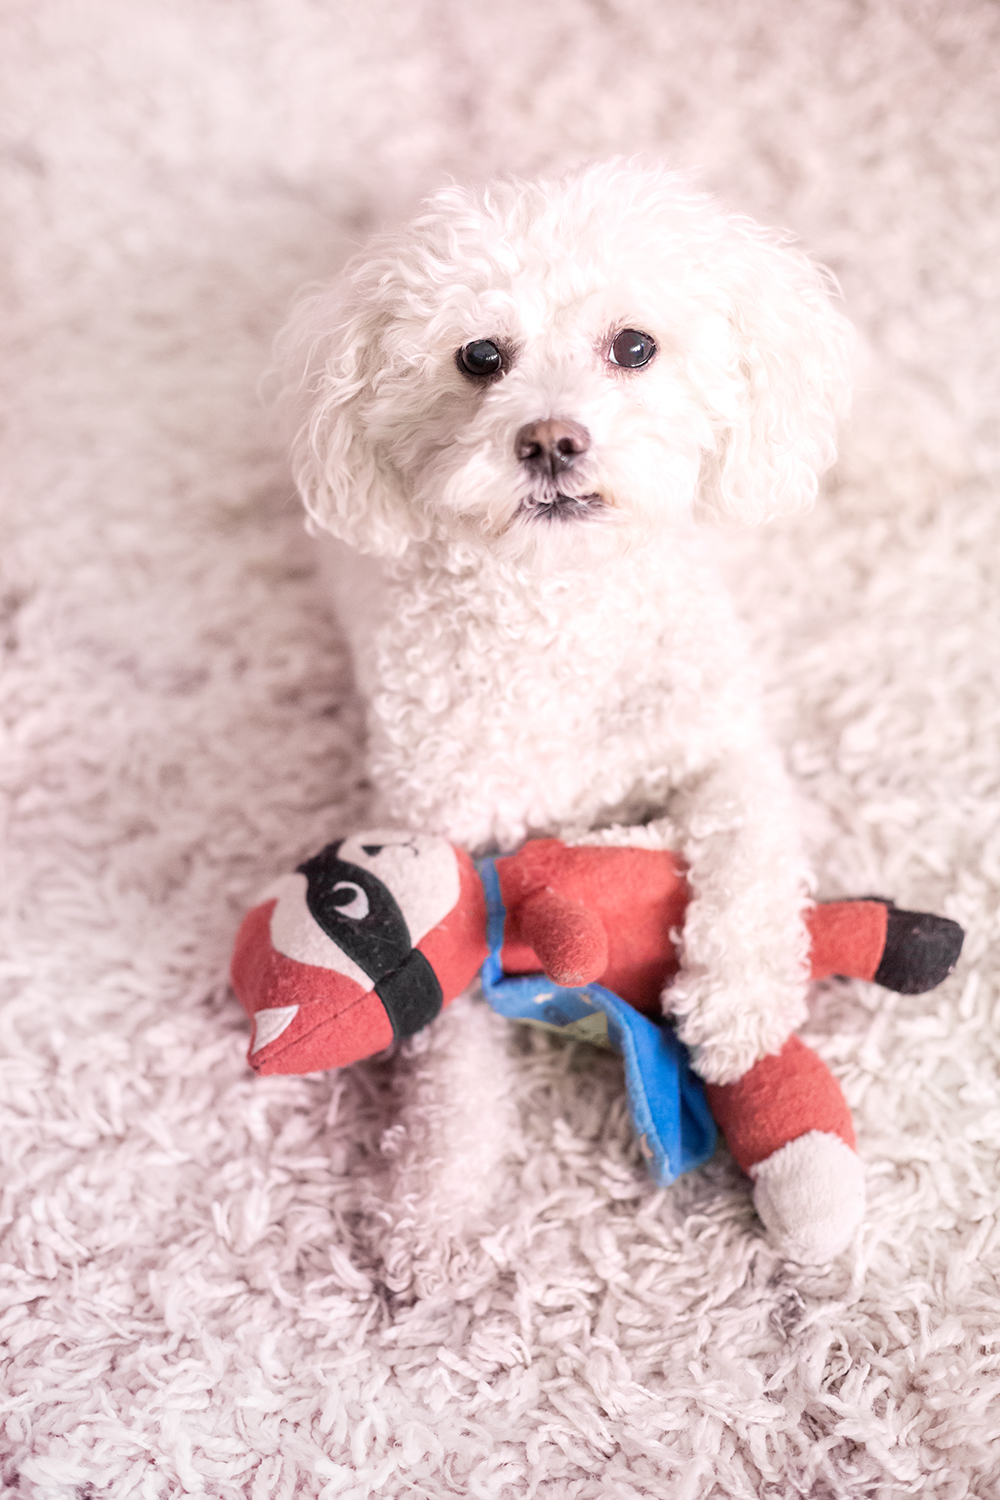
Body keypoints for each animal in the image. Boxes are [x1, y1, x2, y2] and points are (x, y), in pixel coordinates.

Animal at [280, 158, 863, 1272]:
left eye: (633, 346)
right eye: (479, 357)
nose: (550, 439)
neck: (558, 612)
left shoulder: (719, 743)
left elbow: (751, 848)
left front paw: (736, 1006)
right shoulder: (450, 858)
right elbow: (450, 1059)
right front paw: (434, 1206)